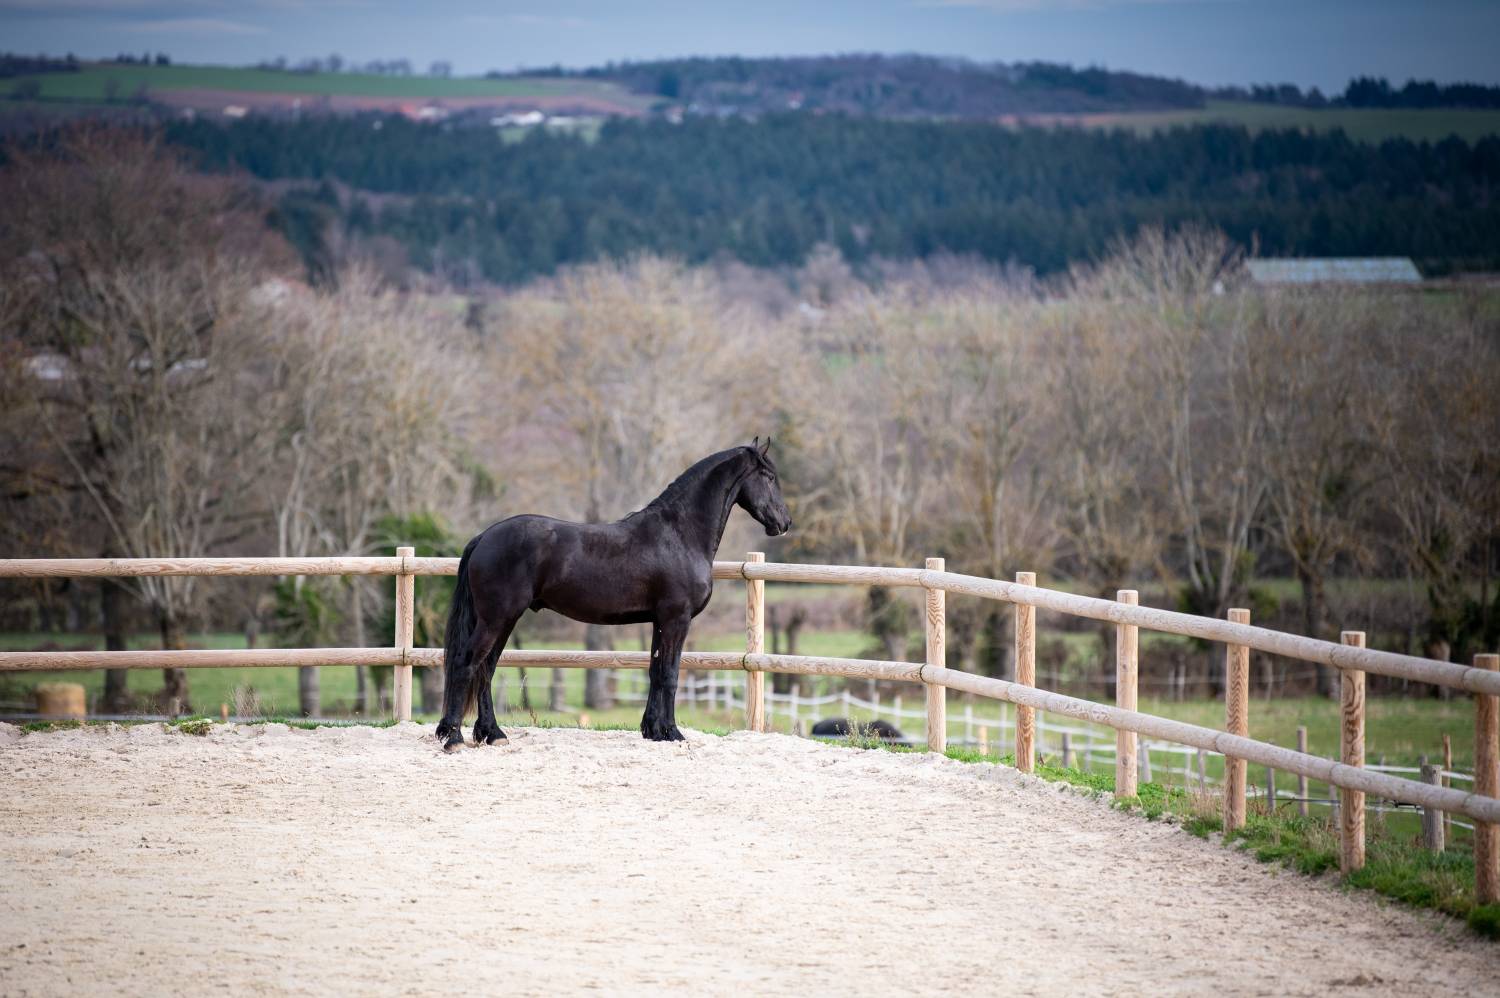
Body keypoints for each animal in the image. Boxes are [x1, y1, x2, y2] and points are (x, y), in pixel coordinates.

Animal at [438, 441, 792, 747]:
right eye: (769, 476)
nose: (785, 522)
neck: (680, 533)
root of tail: (484, 537)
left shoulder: (660, 621)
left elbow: (655, 671)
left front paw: (653, 731)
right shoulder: (676, 619)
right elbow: (670, 674)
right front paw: (673, 732)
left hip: (503, 619)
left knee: (486, 668)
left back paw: (492, 733)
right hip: (496, 618)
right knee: (466, 663)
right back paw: (454, 738)